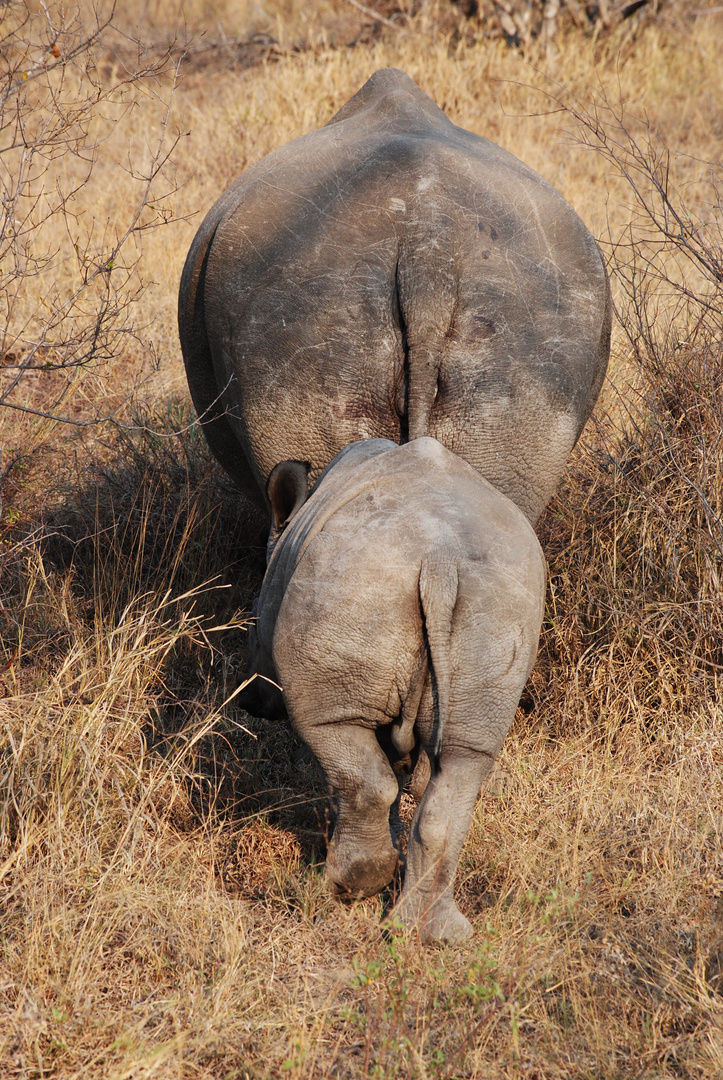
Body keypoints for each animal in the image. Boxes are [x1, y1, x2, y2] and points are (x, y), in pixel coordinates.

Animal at [239, 438, 544, 946]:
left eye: (251, 626)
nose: (249, 702)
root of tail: (441, 560)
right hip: (499, 606)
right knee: (464, 759)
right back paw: (432, 935)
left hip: (356, 585)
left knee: (333, 730)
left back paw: (345, 888)